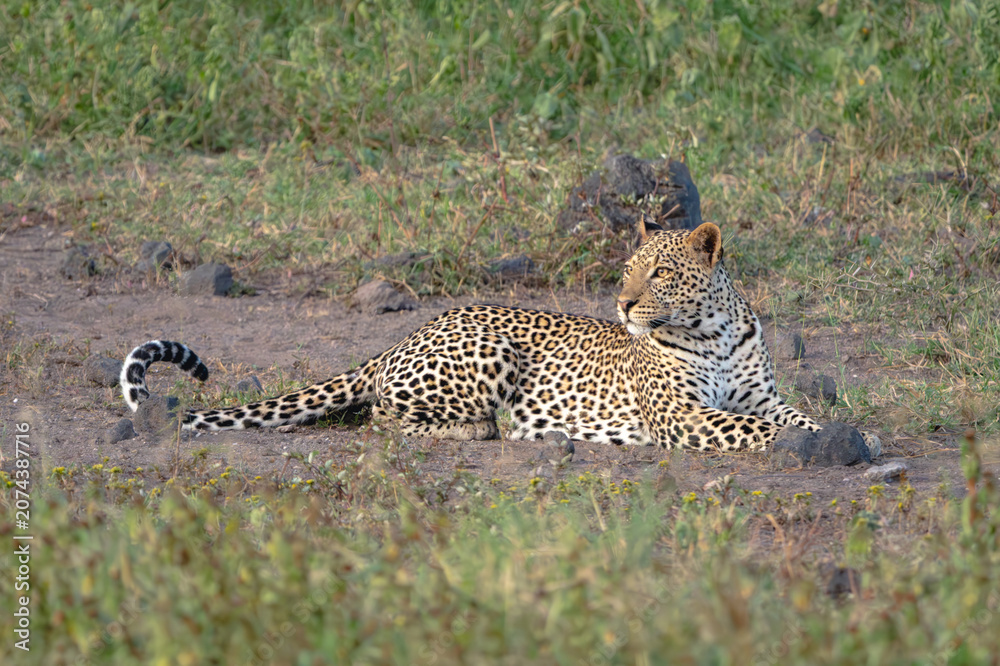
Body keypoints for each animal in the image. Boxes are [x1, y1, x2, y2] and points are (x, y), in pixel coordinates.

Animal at [119, 219, 865, 452]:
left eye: (658, 272)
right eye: (627, 269)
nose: (622, 303)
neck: (712, 329)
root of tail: (406, 334)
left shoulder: (761, 394)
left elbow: (794, 416)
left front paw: (842, 435)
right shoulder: (682, 415)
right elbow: (752, 430)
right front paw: (810, 445)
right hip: (487, 355)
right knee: (384, 415)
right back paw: (484, 428)